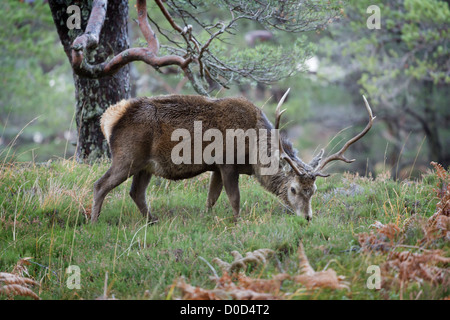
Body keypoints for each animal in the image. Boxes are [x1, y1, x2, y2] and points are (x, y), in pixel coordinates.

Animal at [89, 89, 374, 224]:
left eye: (313, 190)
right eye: (293, 189)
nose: (307, 217)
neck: (253, 154)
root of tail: (108, 118)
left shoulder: (215, 167)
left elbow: (211, 198)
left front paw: (205, 218)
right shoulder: (227, 162)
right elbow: (234, 198)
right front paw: (237, 222)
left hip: (146, 166)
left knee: (136, 192)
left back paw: (153, 222)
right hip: (126, 155)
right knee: (100, 184)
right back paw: (94, 221)